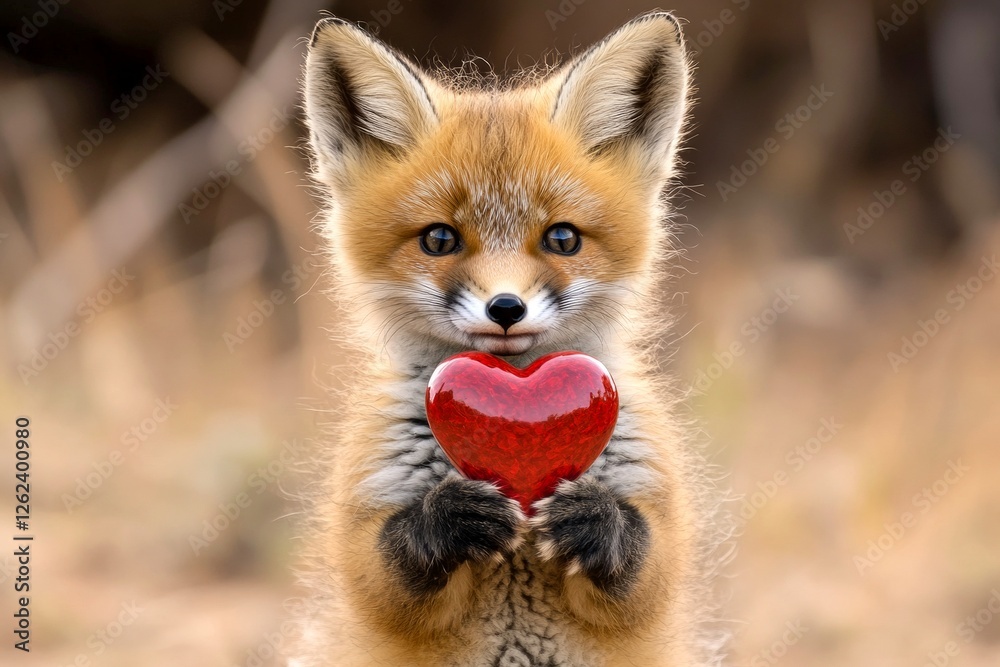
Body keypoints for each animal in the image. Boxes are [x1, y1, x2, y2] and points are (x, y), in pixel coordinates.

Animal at [293, 10, 726, 667]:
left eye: (563, 239)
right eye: (440, 239)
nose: (505, 308)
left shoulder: (654, 503)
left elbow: (645, 573)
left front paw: (593, 520)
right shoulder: (368, 505)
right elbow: (384, 575)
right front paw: (449, 518)